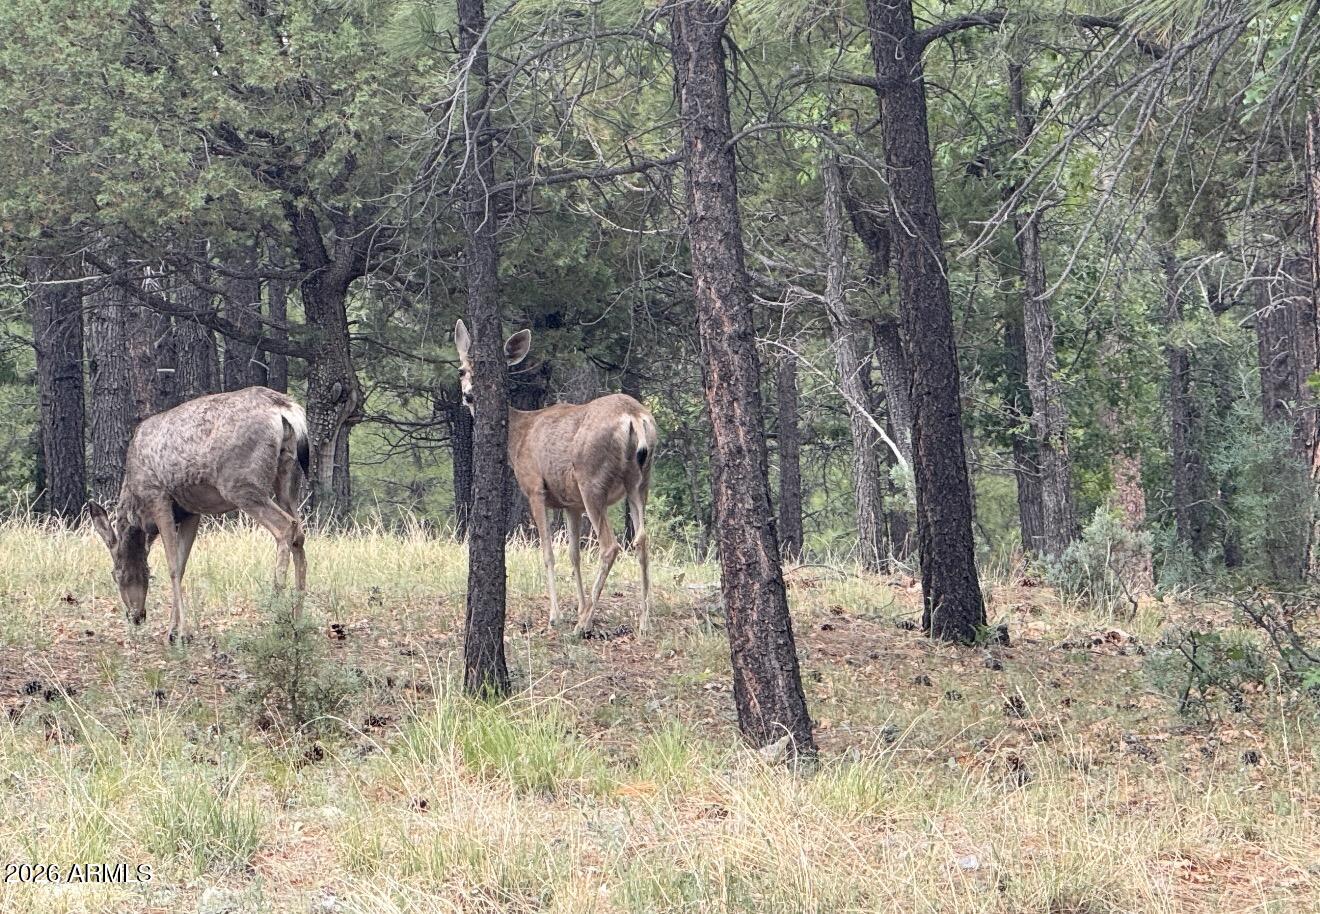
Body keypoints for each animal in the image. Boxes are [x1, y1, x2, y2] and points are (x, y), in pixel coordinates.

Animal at [88, 386, 309, 644]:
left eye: (116, 573)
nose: (136, 616)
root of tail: (286, 410)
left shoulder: (158, 497)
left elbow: (173, 566)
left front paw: (181, 632)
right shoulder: (191, 511)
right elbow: (183, 564)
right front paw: (173, 630)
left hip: (242, 484)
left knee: (285, 526)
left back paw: (277, 619)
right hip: (288, 477)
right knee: (299, 533)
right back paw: (298, 622)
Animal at [455, 319, 658, 637]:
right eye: (462, 370)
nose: (470, 396)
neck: (518, 435)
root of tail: (634, 416)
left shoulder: (534, 488)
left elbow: (548, 552)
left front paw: (558, 615)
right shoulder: (571, 503)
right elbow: (573, 554)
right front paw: (580, 606)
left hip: (591, 479)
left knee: (610, 546)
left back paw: (581, 625)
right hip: (640, 480)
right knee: (642, 540)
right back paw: (643, 621)